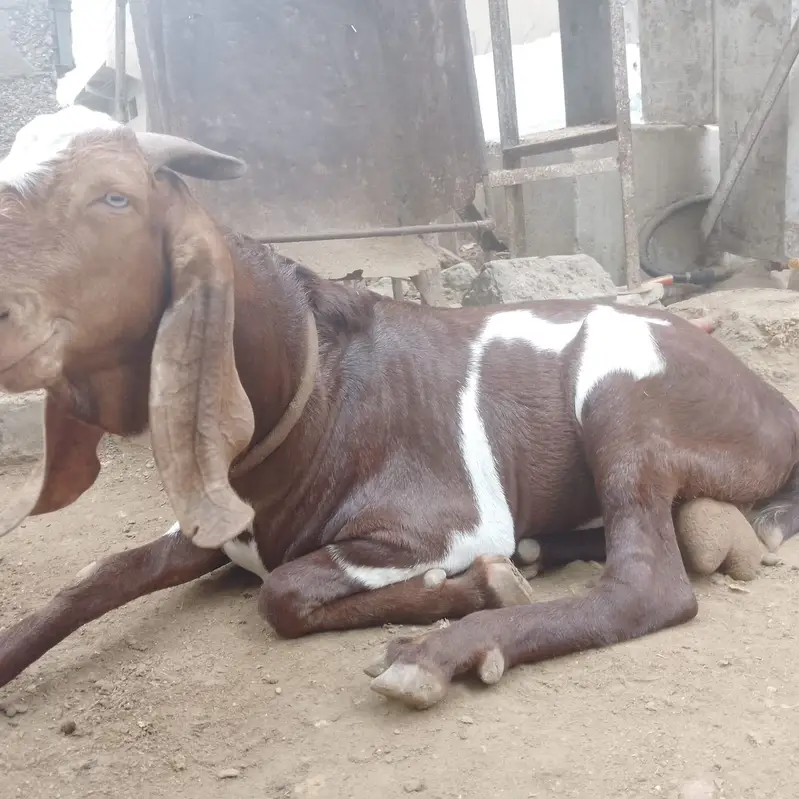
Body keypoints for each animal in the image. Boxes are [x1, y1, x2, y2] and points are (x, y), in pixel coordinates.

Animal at [1, 105, 797, 711]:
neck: (318, 391)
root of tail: (776, 408)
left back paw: (442, 650)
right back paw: (541, 551)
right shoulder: (211, 523)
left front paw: (474, 590)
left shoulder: (447, 522)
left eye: (114, 197)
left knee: (648, 585)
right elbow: (95, 577)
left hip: (622, 397)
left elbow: (281, 591)